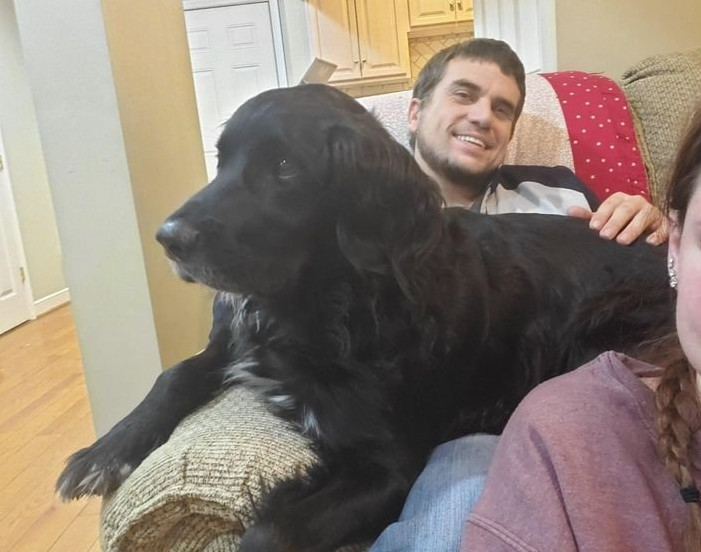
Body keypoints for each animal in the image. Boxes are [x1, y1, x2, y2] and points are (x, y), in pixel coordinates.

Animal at [57, 84, 673, 551]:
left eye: (285, 167)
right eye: (221, 160)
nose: (168, 238)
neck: (325, 301)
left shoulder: (389, 465)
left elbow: (270, 530)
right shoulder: (236, 343)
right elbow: (175, 372)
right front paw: (104, 451)